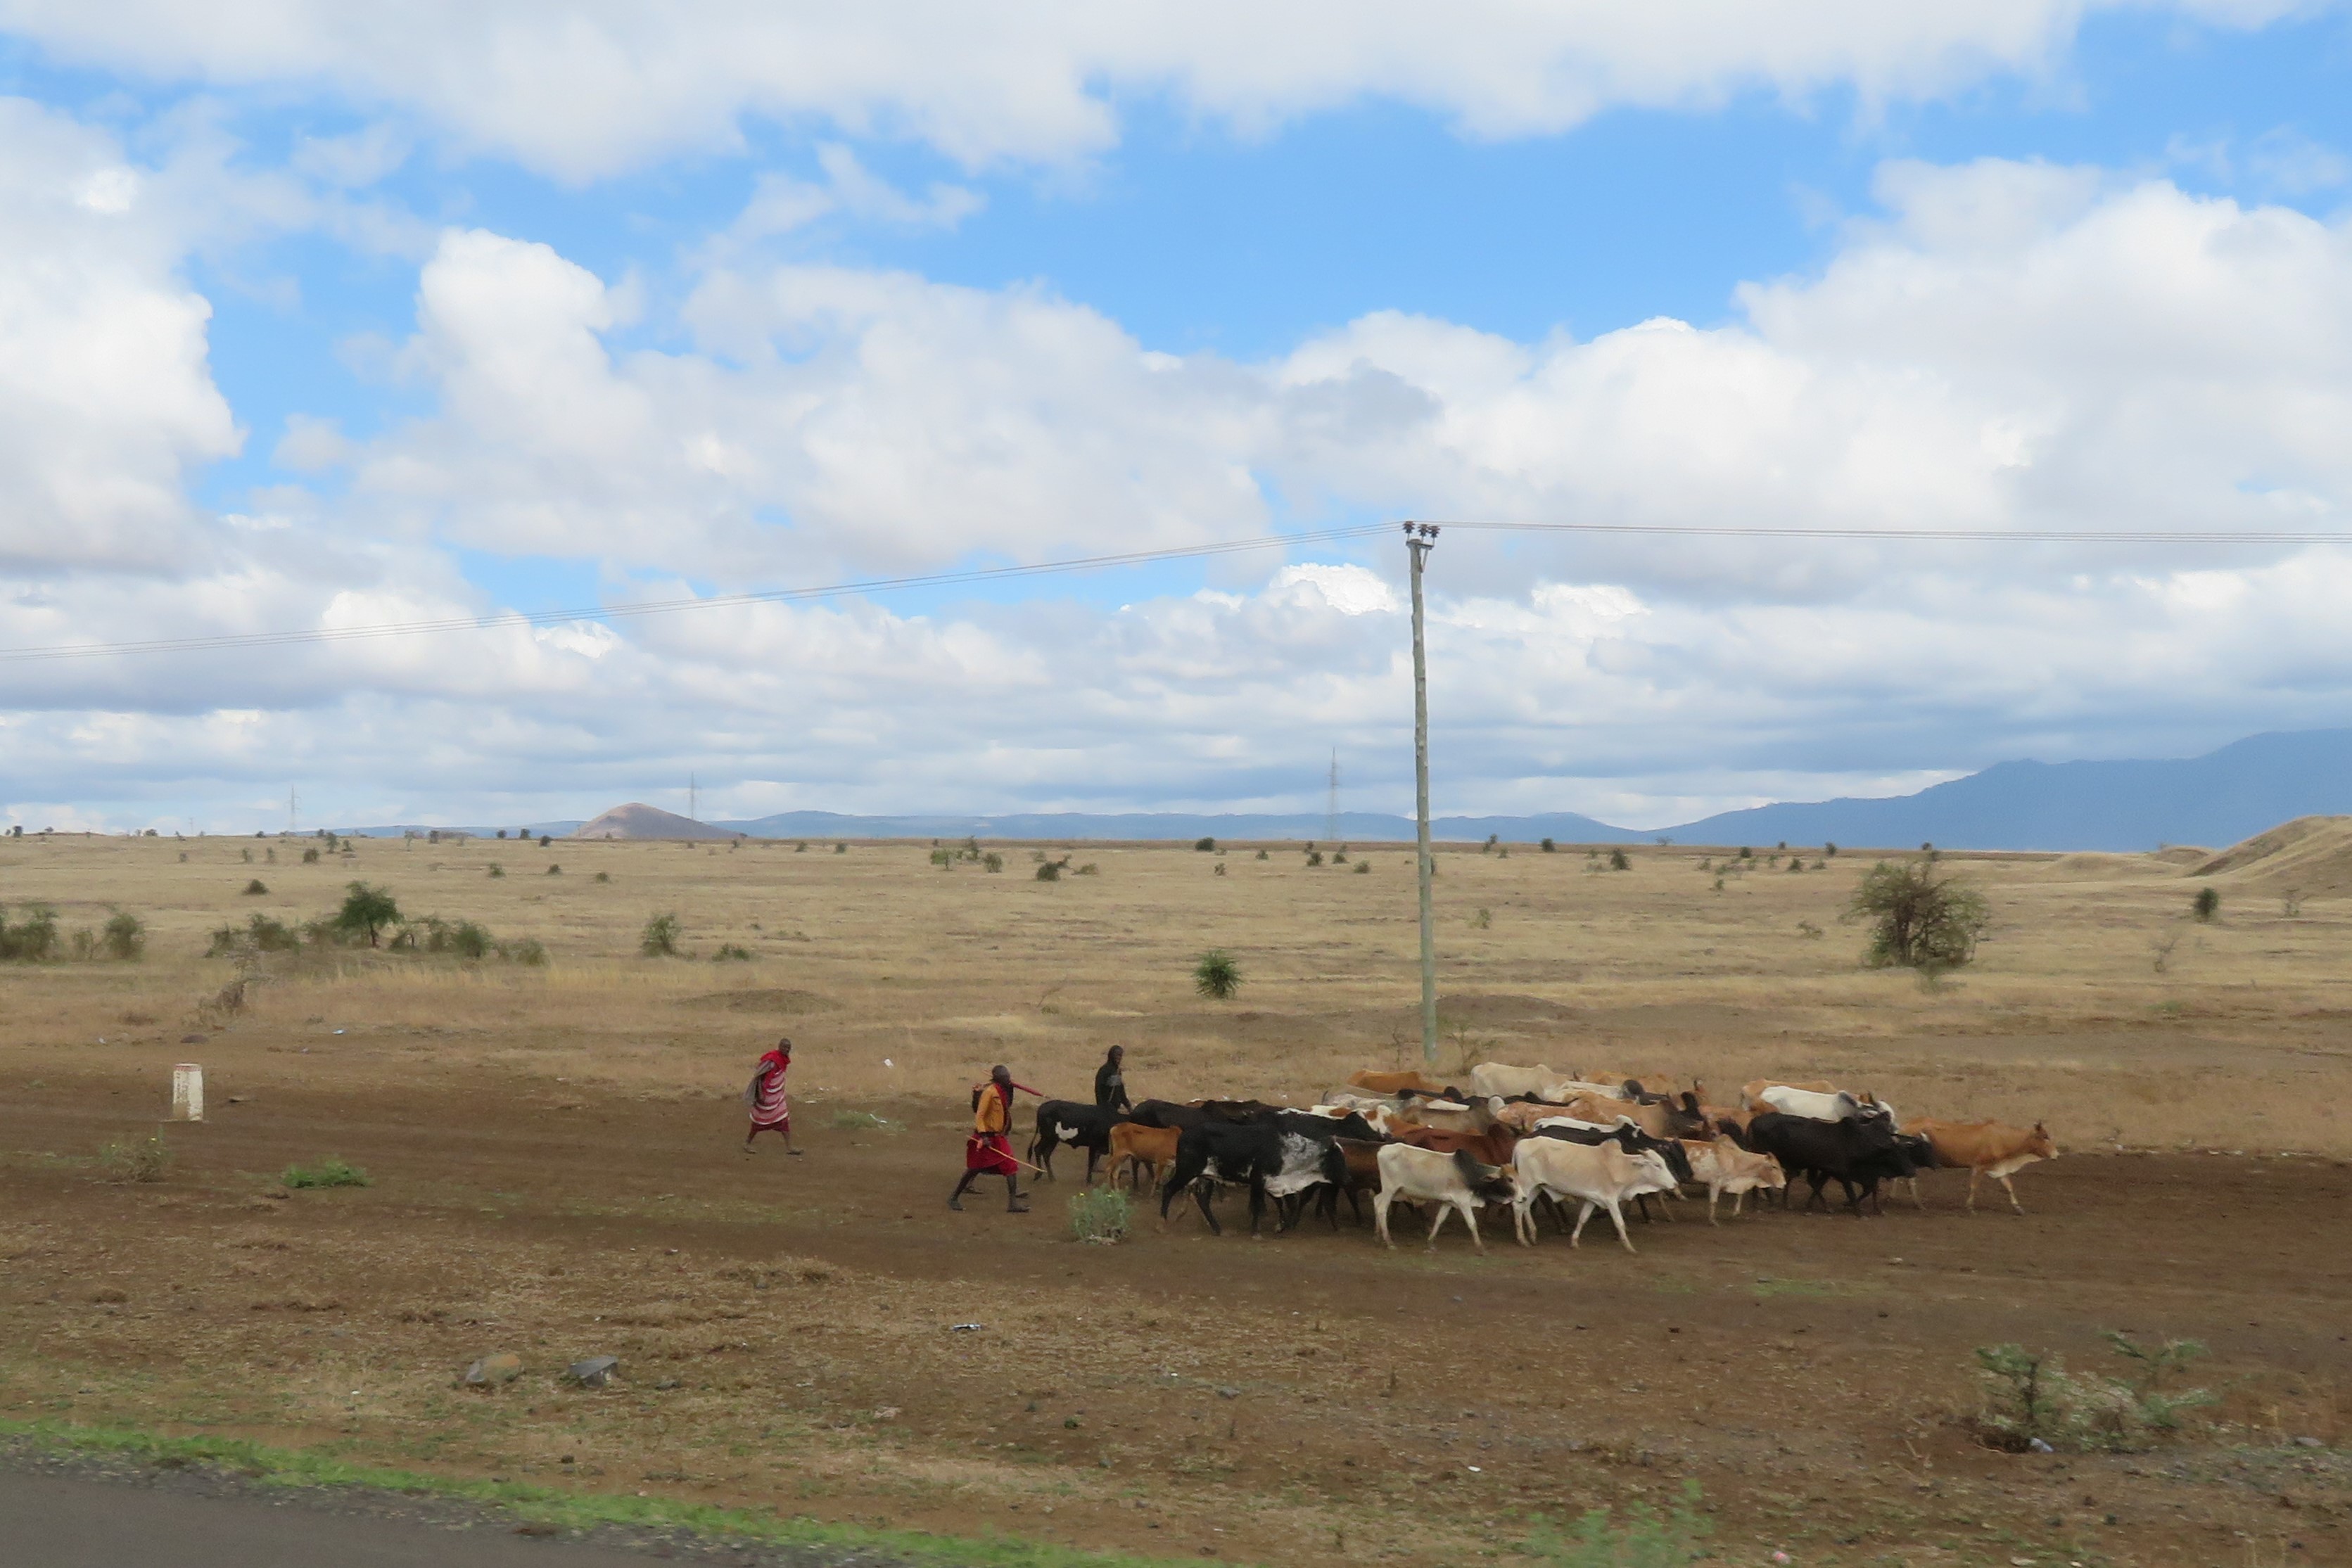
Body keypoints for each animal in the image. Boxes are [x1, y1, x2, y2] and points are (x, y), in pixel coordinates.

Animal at [1373, 1142, 1514, 1250]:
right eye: (1510, 1179)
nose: (1519, 1197)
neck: (1471, 1174)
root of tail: (1382, 1149)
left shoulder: (1448, 1202)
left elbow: (1439, 1220)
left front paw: (1431, 1243)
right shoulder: (1463, 1201)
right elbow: (1472, 1223)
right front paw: (1481, 1248)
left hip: (1394, 1191)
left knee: (1376, 1201)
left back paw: (1378, 1236)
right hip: (1390, 1189)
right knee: (1382, 1209)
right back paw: (1389, 1242)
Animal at [1909, 1114, 2060, 1213]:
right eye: (2045, 1136)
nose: (2057, 1154)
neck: (2003, 1138)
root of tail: (1907, 1126)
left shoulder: (1999, 1166)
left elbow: (2008, 1186)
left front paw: (2018, 1208)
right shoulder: (1979, 1166)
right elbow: (1974, 1186)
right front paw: (1970, 1207)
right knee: (1911, 1182)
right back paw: (1919, 1205)